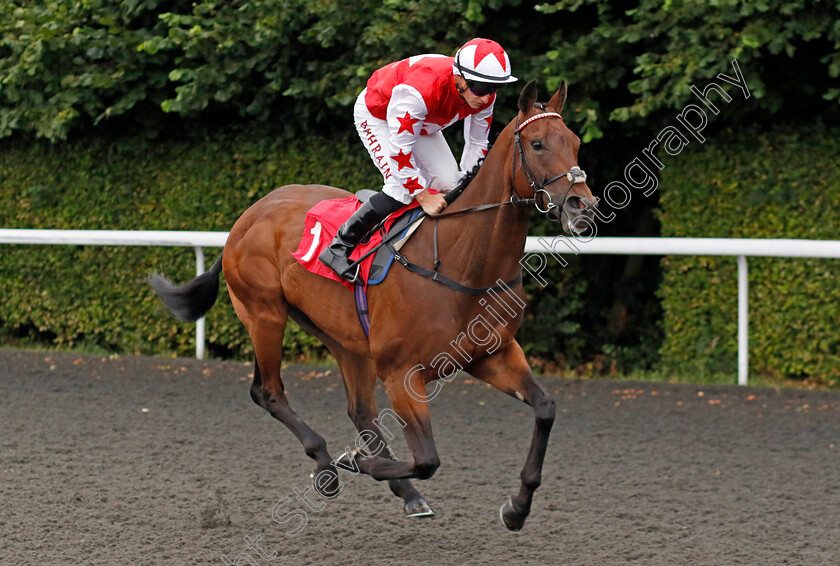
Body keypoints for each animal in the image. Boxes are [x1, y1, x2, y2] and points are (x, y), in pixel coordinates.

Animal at [151, 81, 596, 532]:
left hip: (346, 339)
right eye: (537, 143)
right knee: (268, 391)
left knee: (359, 411)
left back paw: (405, 493)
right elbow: (427, 458)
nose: (583, 204)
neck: (460, 262)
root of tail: (248, 216)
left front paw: (517, 507)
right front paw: (356, 462)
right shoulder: (402, 373)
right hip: (264, 315)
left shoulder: (493, 355)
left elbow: (545, 409)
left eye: (575, 142)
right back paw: (327, 467)